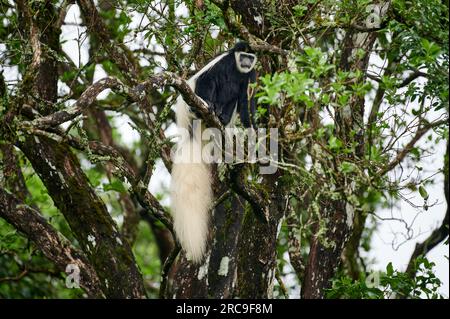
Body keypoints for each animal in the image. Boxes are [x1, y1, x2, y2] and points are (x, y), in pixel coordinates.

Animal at [171, 42, 258, 262]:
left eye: (250, 58)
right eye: (243, 56)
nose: (246, 62)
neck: (237, 68)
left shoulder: (251, 75)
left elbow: (246, 104)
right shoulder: (224, 62)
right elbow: (207, 79)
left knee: (234, 97)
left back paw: (222, 117)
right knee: (211, 84)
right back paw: (209, 109)